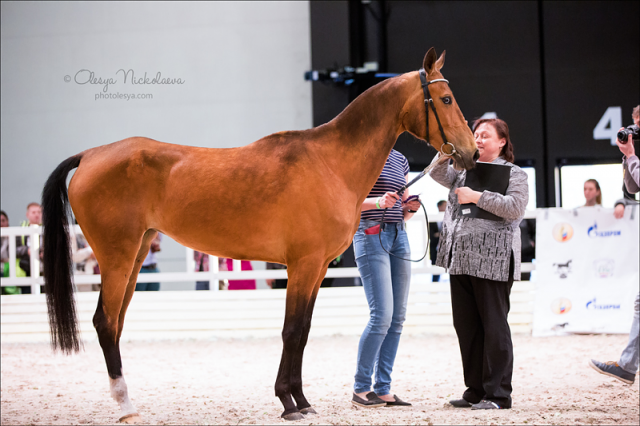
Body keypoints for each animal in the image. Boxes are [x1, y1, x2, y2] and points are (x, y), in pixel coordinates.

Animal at [41, 47, 477, 422]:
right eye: (446, 99)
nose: (471, 153)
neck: (330, 163)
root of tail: (91, 155)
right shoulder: (302, 266)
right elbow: (291, 330)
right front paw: (288, 402)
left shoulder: (317, 269)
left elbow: (302, 332)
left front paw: (301, 400)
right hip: (116, 258)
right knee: (104, 322)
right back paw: (125, 406)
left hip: (134, 257)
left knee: (116, 322)